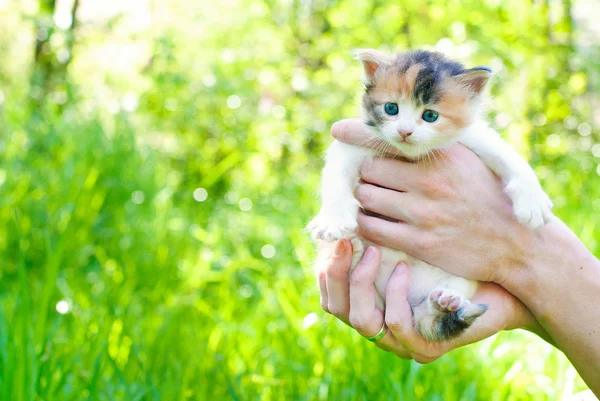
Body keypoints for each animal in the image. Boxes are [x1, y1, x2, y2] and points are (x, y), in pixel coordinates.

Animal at [310, 48, 552, 340]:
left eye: (430, 116)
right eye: (391, 108)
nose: (404, 131)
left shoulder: (475, 136)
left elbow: (509, 156)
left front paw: (533, 202)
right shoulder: (355, 142)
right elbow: (336, 175)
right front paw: (332, 220)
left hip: (462, 269)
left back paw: (446, 301)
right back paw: (353, 251)